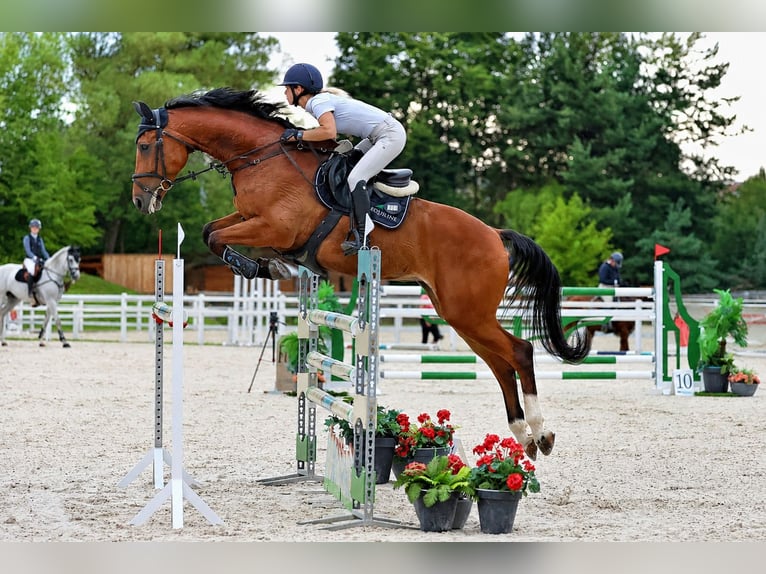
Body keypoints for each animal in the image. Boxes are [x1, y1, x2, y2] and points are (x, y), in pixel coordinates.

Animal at [130, 87, 589, 459]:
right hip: (459, 314)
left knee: (519, 353)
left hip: (468, 312)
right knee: (500, 364)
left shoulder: (273, 226)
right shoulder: (249, 217)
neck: (262, 157)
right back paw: (524, 435)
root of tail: (494, 234)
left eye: (146, 145)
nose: (140, 199)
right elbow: (211, 230)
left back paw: (539, 432)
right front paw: (265, 265)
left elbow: (215, 237)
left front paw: (261, 265)